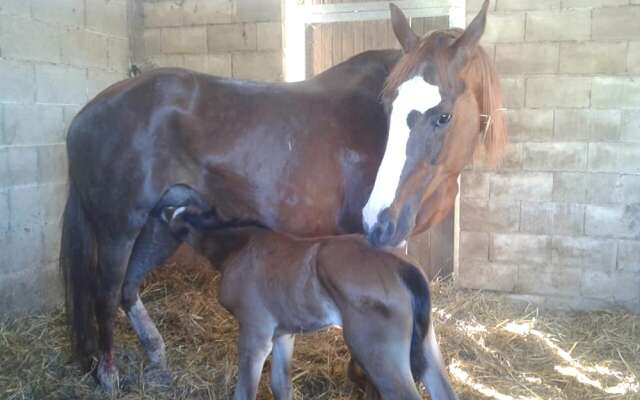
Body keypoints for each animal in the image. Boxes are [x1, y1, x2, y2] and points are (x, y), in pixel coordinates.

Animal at [164, 206, 456, 400]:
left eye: (183, 218)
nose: (164, 213)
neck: (241, 249)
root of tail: (401, 265)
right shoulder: (283, 334)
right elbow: (281, 385)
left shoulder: (255, 333)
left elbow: (245, 391)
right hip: (427, 345)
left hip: (379, 354)